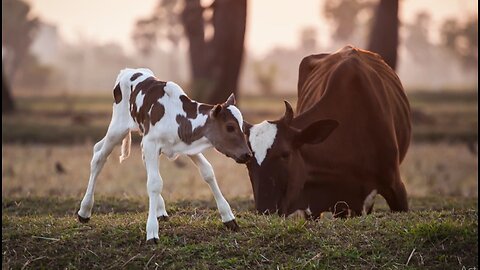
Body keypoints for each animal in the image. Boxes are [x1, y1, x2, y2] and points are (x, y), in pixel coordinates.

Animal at [76, 67, 251, 243]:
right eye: (230, 127)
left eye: (242, 126)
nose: (248, 154)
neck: (175, 116)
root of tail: (129, 70)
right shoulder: (151, 142)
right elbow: (154, 183)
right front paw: (152, 231)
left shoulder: (186, 145)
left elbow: (208, 172)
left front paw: (228, 217)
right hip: (118, 128)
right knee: (99, 156)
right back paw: (84, 211)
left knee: (106, 149)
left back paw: (160, 210)